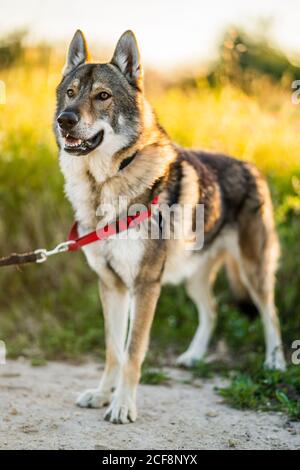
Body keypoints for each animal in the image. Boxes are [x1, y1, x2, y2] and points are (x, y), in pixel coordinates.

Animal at [54, 30, 286, 426]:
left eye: (103, 96)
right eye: (70, 92)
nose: (65, 120)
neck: (104, 185)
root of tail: (251, 166)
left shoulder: (145, 285)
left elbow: (133, 352)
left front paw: (122, 405)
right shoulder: (112, 285)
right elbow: (113, 350)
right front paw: (102, 395)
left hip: (253, 271)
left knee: (270, 315)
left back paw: (275, 364)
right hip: (192, 276)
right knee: (213, 310)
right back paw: (193, 357)